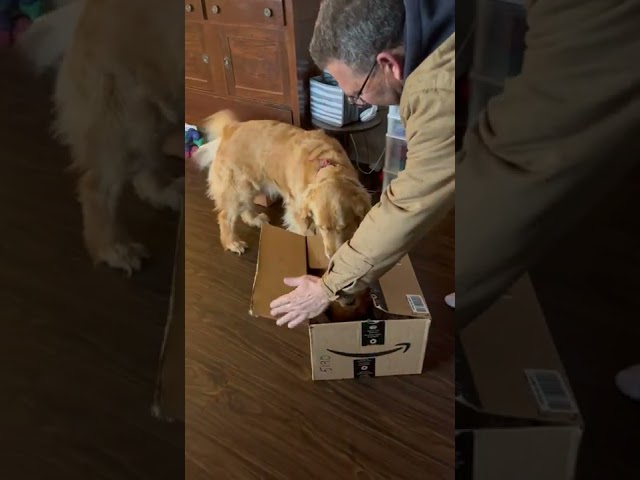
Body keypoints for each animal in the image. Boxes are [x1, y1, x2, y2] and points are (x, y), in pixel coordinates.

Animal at [198, 110, 372, 258]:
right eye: (321, 227)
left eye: (343, 227)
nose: (331, 256)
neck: (328, 167)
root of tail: (230, 128)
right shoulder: (297, 210)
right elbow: (305, 231)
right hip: (238, 188)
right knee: (225, 216)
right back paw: (232, 242)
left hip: (250, 186)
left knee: (246, 207)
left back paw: (254, 219)